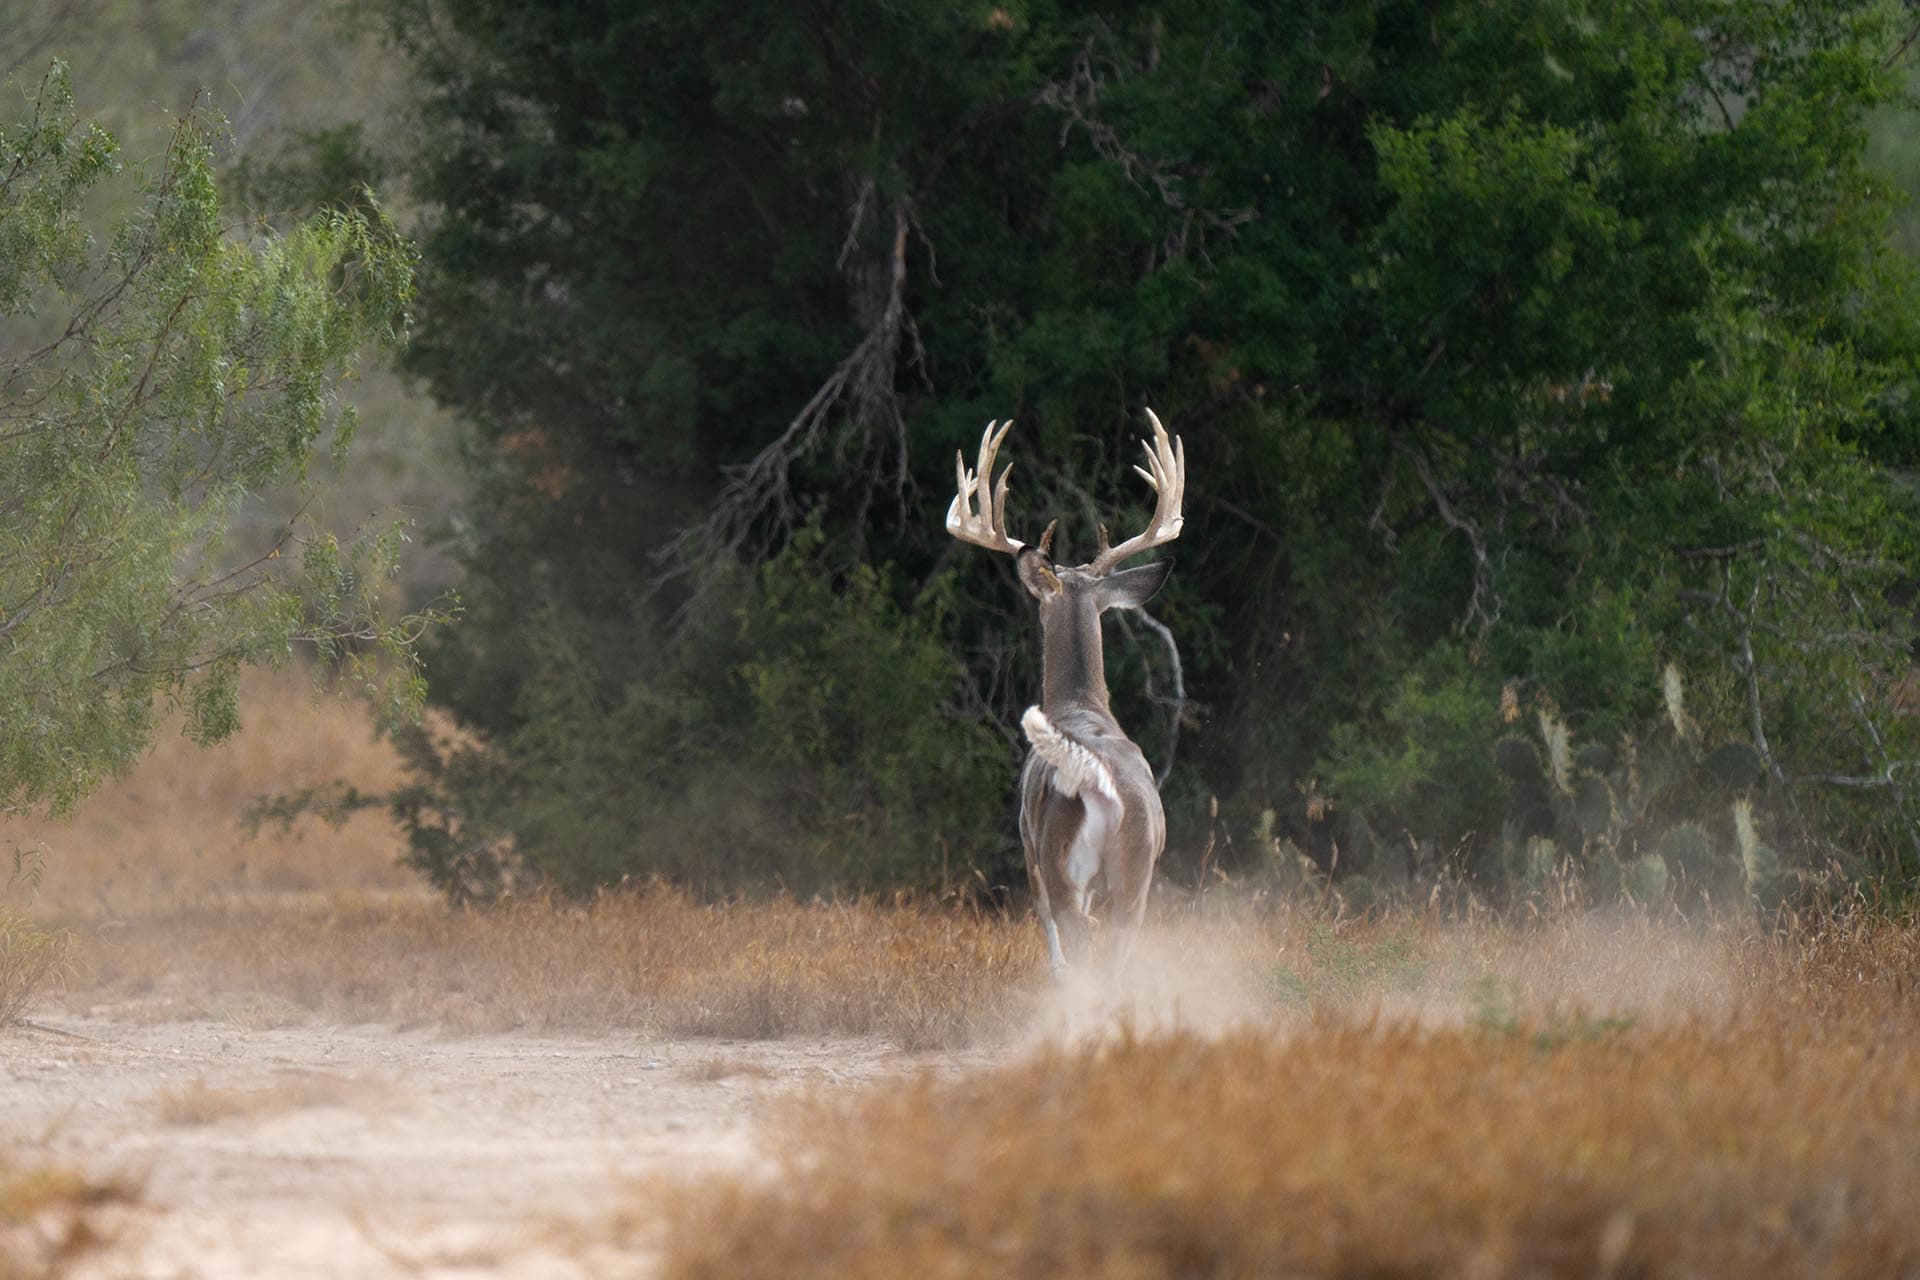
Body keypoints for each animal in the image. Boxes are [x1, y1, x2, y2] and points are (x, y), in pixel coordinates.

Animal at [946, 408, 1186, 977]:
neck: (1078, 705)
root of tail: (1100, 783)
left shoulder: (1028, 847)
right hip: (1137, 870)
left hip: (1059, 862)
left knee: (1074, 942)